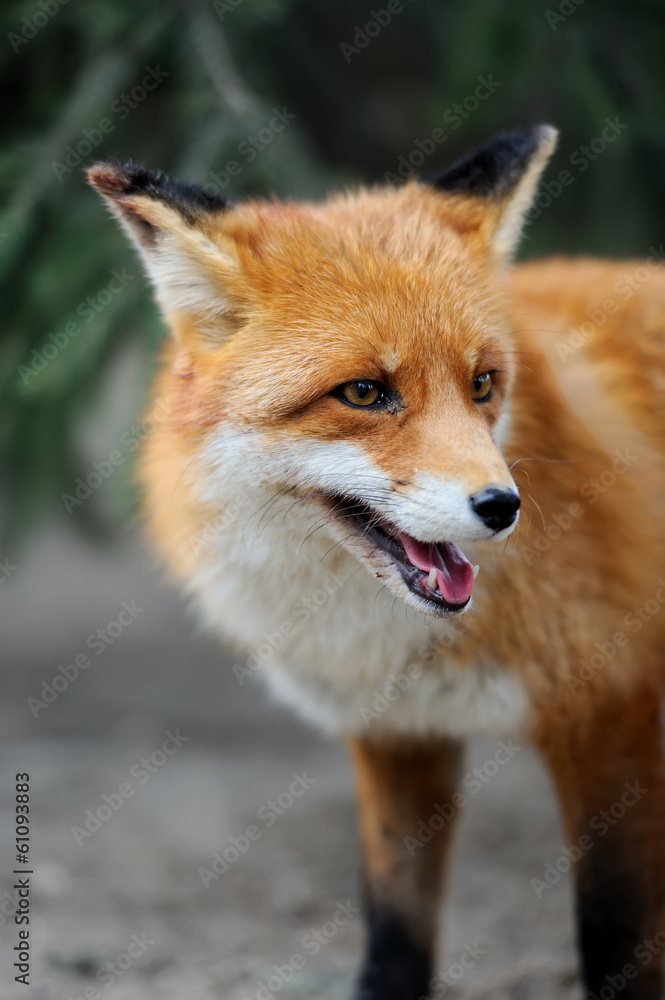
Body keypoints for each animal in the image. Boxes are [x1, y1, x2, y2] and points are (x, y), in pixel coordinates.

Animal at [87, 125, 665, 1000]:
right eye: (363, 392)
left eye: (481, 384)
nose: (502, 506)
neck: (383, 637)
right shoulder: (395, 732)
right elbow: (395, 924)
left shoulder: (609, 713)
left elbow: (614, 936)